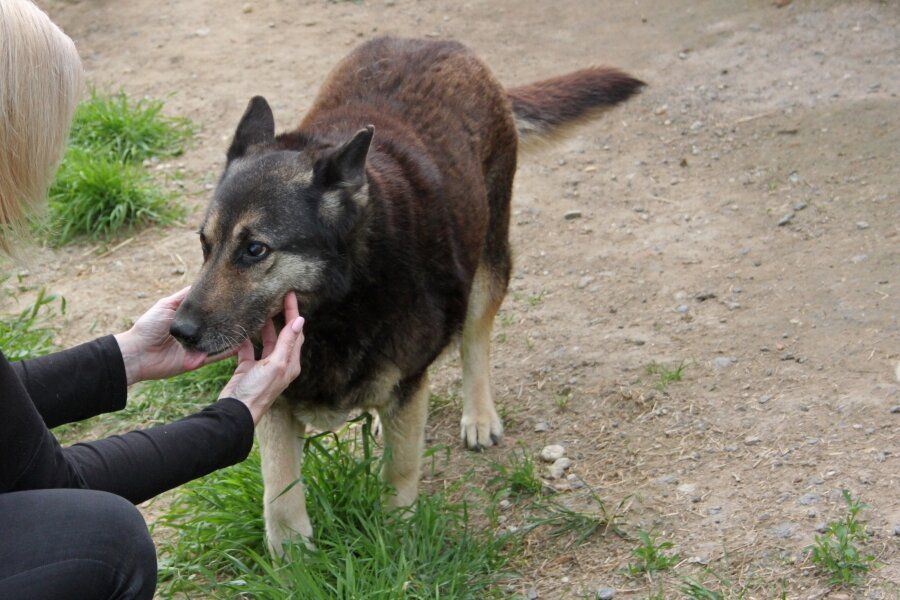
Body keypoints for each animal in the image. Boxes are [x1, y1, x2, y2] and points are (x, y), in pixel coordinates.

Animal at [172, 36, 644, 552]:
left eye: (255, 249)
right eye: (205, 244)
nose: (179, 331)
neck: (340, 305)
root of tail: (440, 42)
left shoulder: (405, 378)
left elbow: (400, 469)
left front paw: (396, 535)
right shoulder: (275, 397)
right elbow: (279, 491)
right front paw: (293, 554)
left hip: (488, 261)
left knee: (475, 339)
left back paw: (479, 414)